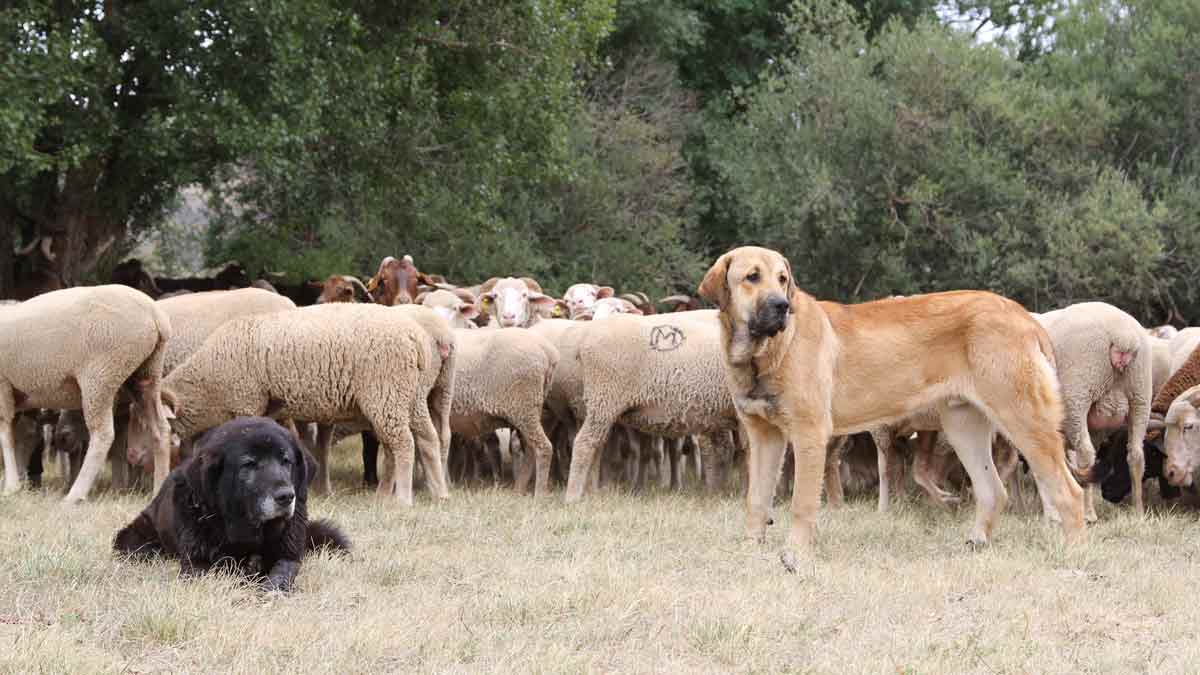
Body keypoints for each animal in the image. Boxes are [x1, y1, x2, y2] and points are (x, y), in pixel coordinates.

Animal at [1, 285, 173, 502]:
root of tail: (154, 313)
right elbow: (16, 435)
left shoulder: (3, 385)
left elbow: (5, 434)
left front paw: (10, 487)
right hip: (146, 374)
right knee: (161, 428)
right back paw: (159, 489)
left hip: (100, 376)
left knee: (103, 434)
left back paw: (75, 495)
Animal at [159, 303, 432, 504]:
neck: (208, 383)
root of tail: (416, 336)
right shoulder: (271, 408)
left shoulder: (247, 401)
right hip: (407, 398)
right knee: (419, 440)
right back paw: (421, 493)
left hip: (386, 392)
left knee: (403, 445)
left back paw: (402, 500)